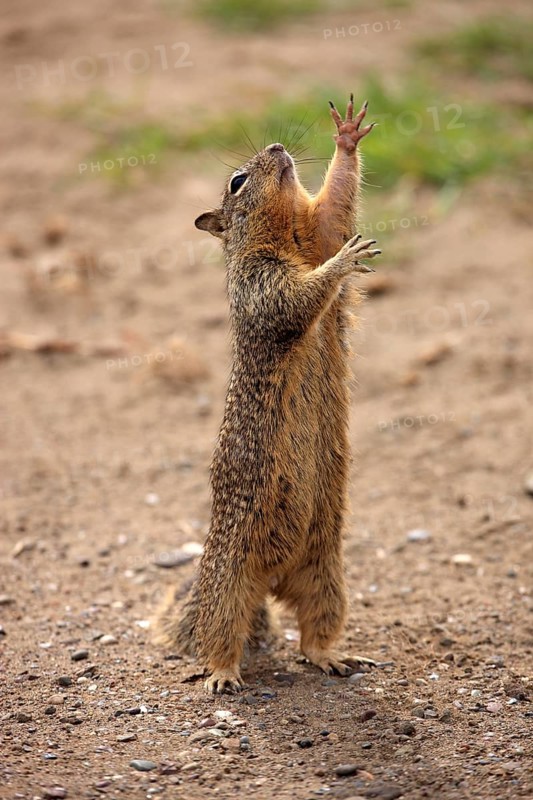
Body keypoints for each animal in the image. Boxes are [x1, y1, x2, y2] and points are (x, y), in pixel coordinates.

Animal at [154, 95, 381, 693]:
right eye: (237, 181)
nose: (278, 147)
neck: (288, 240)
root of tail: (273, 581)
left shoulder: (319, 230)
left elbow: (335, 208)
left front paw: (346, 137)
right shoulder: (263, 285)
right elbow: (300, 297)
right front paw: (345, 262)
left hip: (327, 577)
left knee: (312, 632)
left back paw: (331, 657)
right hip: (230, 584)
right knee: (219, 635)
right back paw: (221, 674)